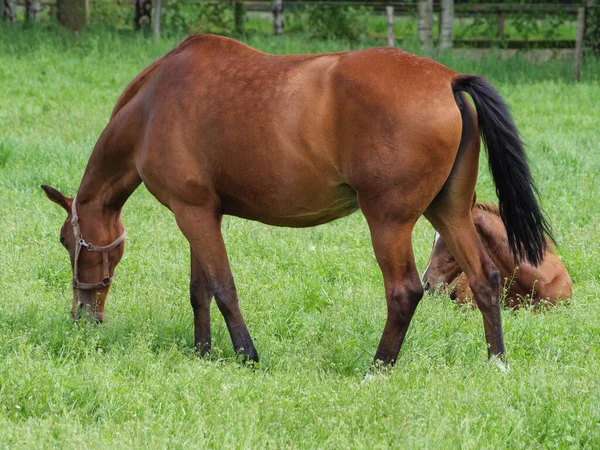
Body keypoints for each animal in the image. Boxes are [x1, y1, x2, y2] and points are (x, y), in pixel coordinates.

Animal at [39, 34, 552, 366]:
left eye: (67, 241)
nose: (82, 317)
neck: (152, 106)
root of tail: (449, 79)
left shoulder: (195, 215)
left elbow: (223, 288)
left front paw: (246, 355)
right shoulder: (199, 214)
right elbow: (199, 290)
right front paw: (202, 353)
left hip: (389, 221)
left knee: (405, 291)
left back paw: (378, 368)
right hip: (448, 212)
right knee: (485, 278)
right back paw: (497, 363)